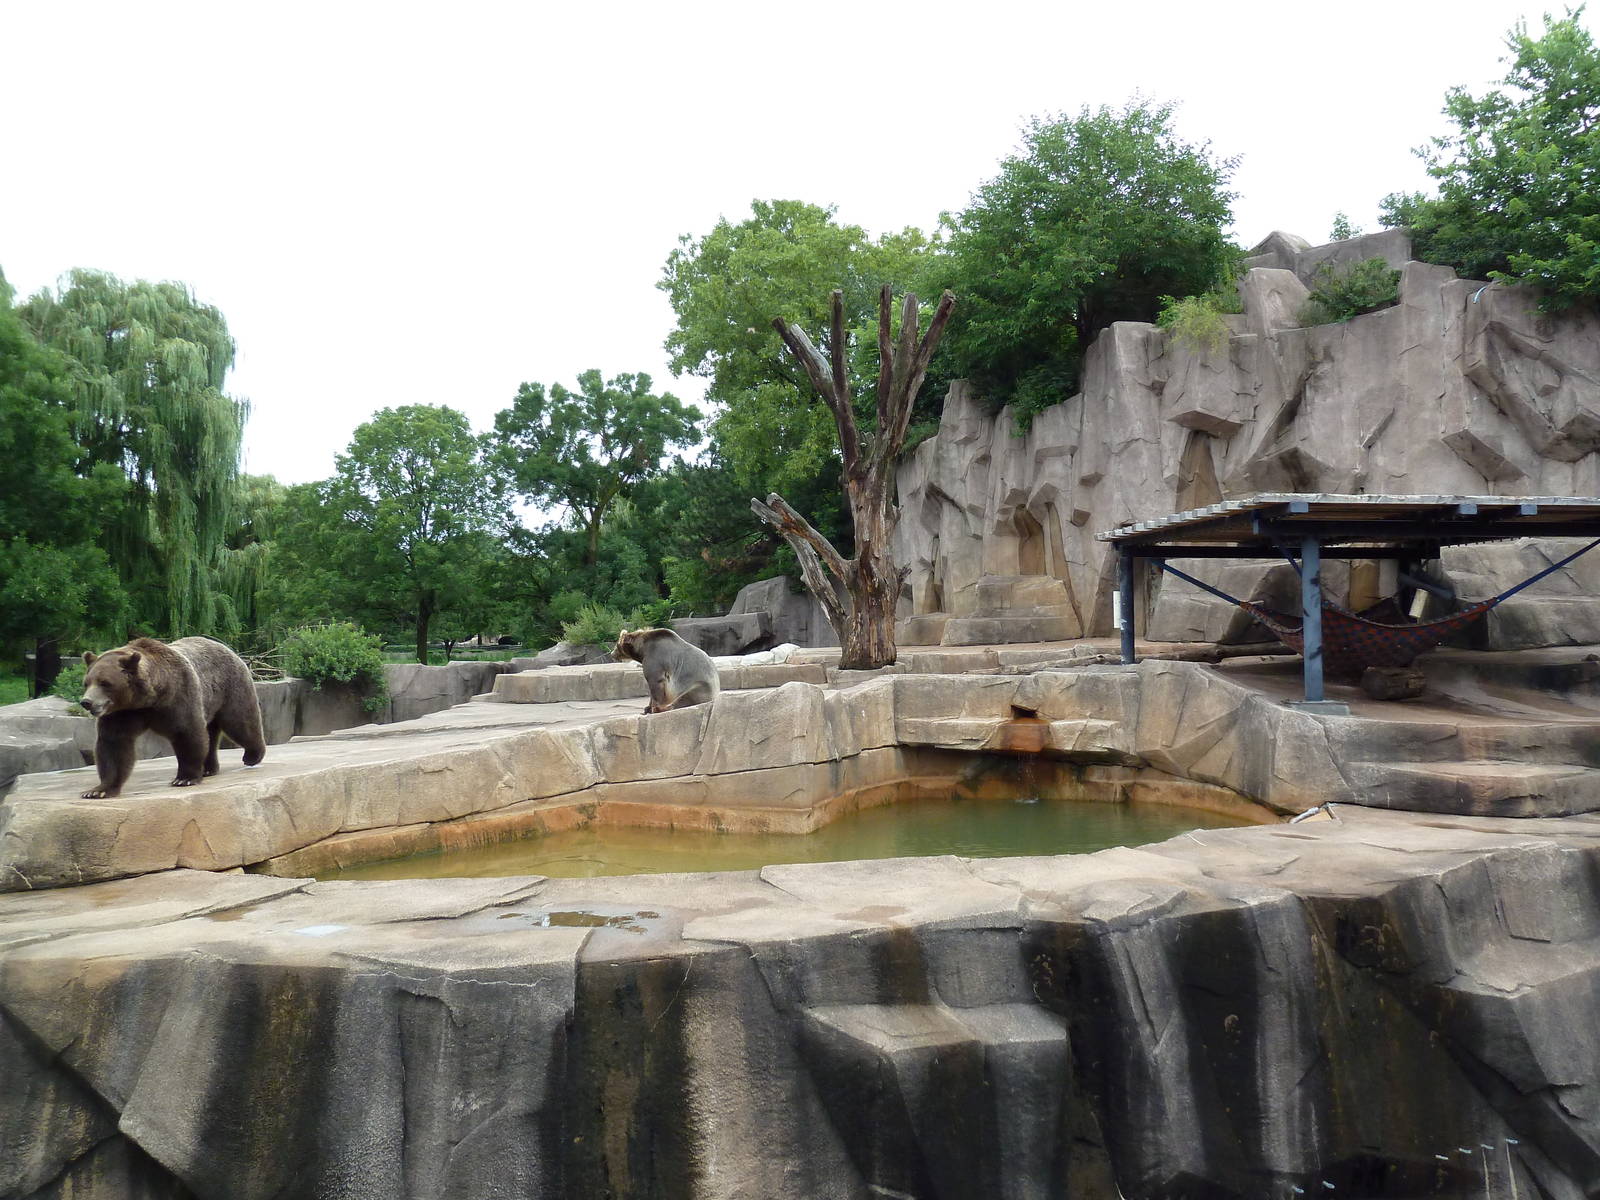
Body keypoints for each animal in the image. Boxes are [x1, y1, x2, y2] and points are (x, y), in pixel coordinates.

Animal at [78, 636, 267, 799]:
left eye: (105, 683)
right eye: (87, 682)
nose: (86, 702)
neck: (149, 698)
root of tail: (228, 649)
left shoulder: (178, 696)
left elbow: (187, 733)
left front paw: (185, 778)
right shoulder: (122, 713)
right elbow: (113, 745)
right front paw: (98, 791)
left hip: (229, 687)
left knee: (240, 721)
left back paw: (252, 755)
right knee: (211, 734)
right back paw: (209, 769)